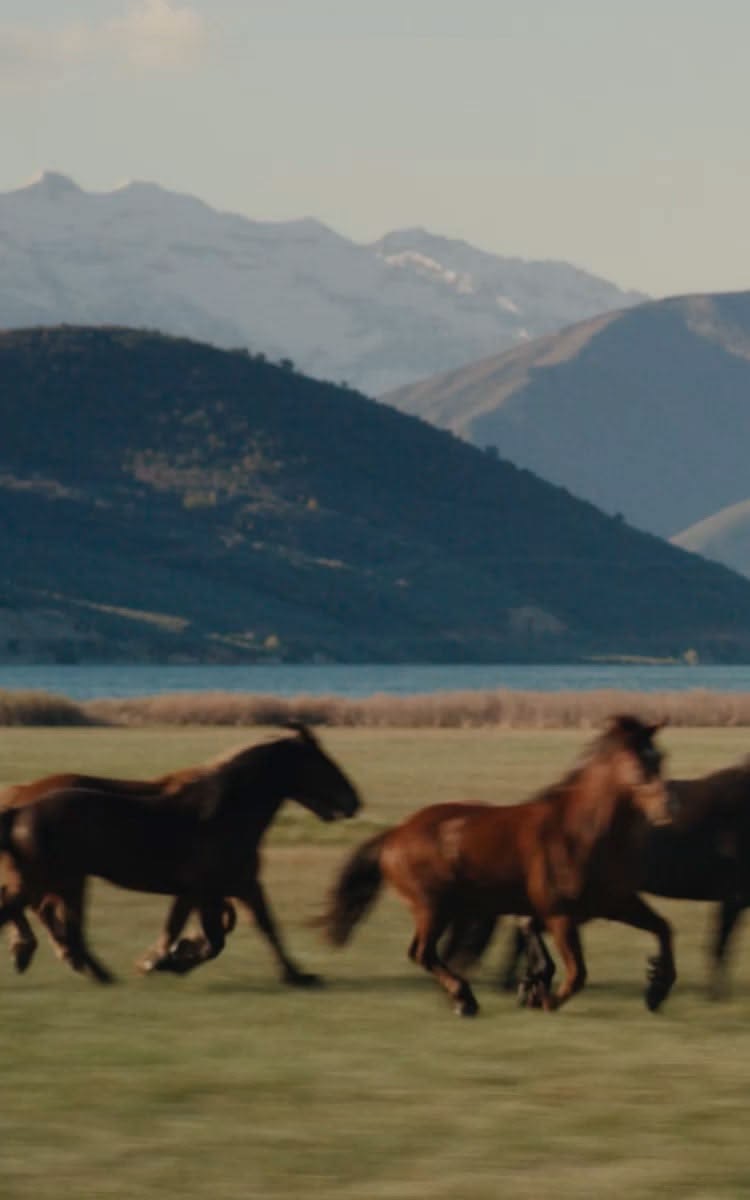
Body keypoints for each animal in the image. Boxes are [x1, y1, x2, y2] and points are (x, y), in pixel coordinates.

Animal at [0, 724, 360, 984]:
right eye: (321, 763)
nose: (354, 802)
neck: (224, 813)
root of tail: (20, 807)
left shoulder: (238, 886)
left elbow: (263, 927)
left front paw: (297, 975)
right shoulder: (204, 890)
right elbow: (212, 939)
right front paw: (166, 960)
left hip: (64, 881)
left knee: (51, 919)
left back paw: (87, 969)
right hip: (51, 879)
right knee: (35, 913)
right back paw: (46, 957)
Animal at [320, 715, 674, 1016]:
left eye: (660, 758)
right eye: (637, 764)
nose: (666, 809)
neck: (581, 834)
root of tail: (395, 834)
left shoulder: (614, 903)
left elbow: (662, 928)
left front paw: (657, 989)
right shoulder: (559, 915)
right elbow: (577, 973)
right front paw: (544, 999)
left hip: (456, 910)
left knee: (440, 953)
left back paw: (462, 997)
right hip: (432, 907)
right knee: (422, 952)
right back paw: (464, 999)